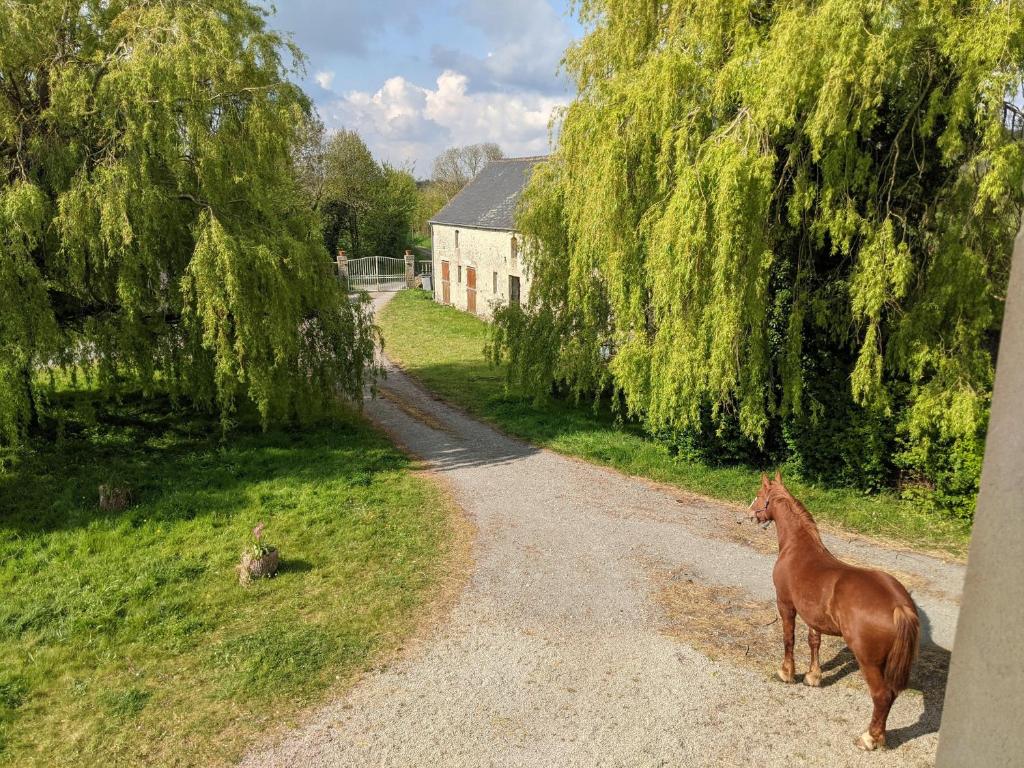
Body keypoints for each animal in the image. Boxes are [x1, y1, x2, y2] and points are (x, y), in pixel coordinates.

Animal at [749, 471, 919, 751]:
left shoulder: (786, 604)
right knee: (891, 695)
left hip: (868, 661)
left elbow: (789, 639)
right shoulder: (812, 616)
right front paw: (813, 676)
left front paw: (787, 673)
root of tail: (899, 605)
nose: (750, 513)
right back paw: (879, 736)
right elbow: (813, 642)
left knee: (882, 696)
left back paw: (869, 738)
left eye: (760, 494)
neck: (798, 549)